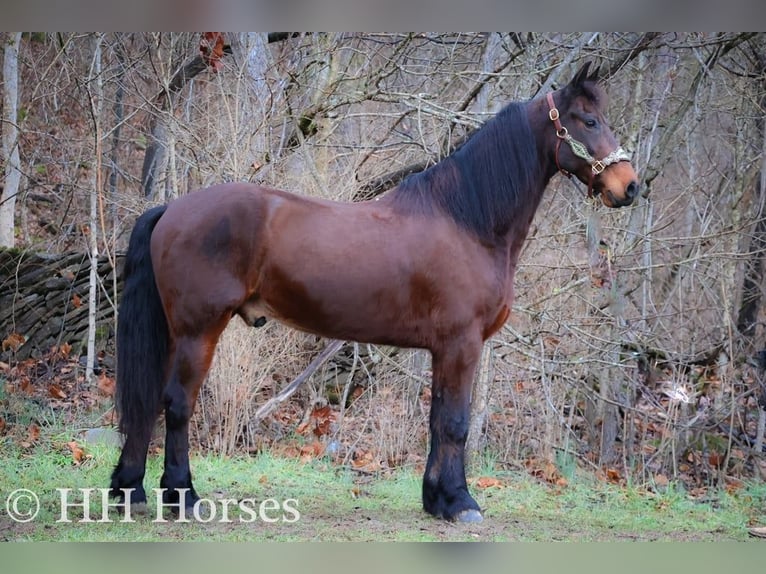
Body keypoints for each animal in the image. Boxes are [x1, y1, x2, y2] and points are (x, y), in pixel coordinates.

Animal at [110, 62, 639, 523]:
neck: (467, 220)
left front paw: (436, 500)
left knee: (149, 401)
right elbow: (457, 423)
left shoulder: (444, 350)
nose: (629, 186)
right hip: (198, 330)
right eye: (589, 120)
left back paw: (130, 491)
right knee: (177, 404)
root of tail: (172, 208)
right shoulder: (462, 344)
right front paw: (461, 503)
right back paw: (183, 497)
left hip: (174, 331)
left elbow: (437, 419)